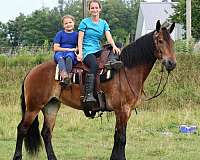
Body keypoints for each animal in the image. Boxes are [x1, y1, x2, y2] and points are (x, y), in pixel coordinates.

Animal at [12, 20, 176, 159]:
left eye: (172, 42)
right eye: (160, 41)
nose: (171, 63)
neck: (126, 70)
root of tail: (32, 72)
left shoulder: (125, 112)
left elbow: (117, 136)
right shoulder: (122, 110)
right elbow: (121, 138)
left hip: (51, 105)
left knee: (46, 132)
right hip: (33, 107)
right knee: (22, 129)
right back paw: (17, 156)